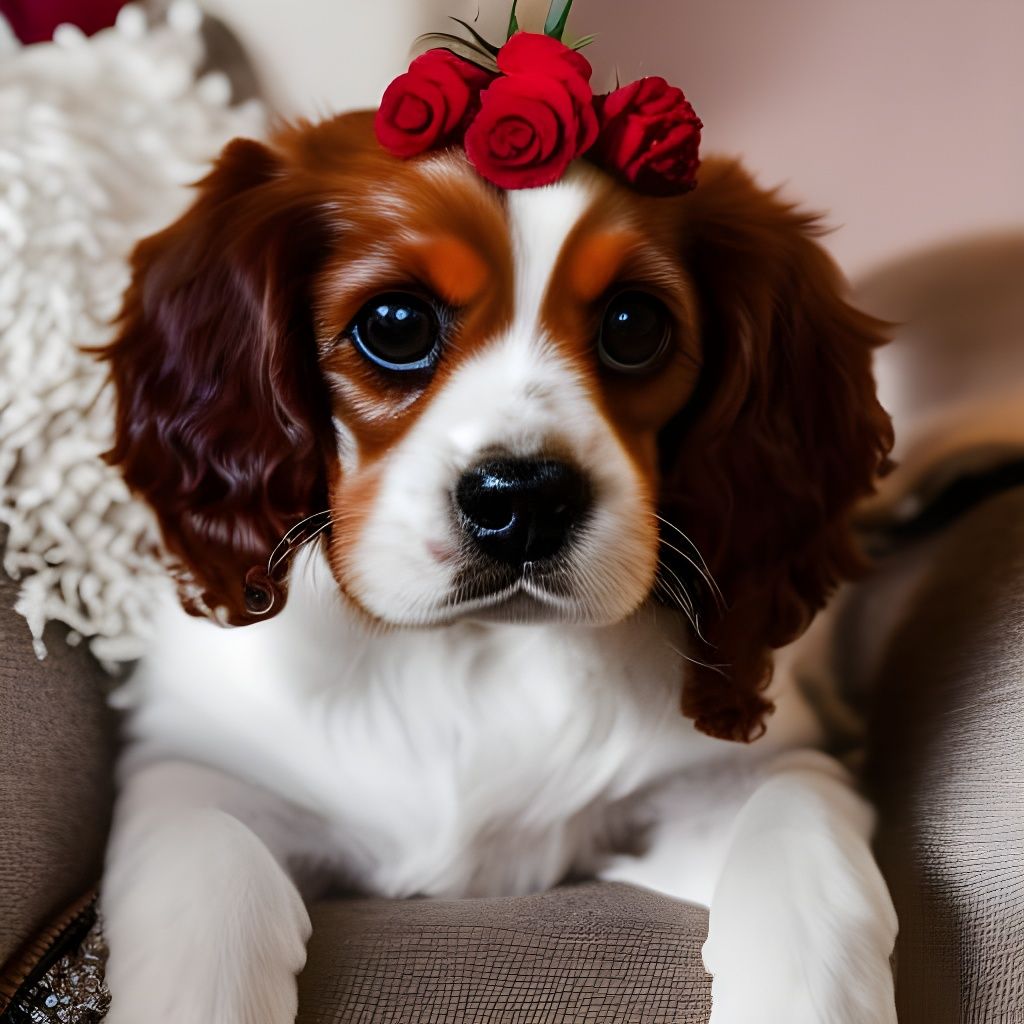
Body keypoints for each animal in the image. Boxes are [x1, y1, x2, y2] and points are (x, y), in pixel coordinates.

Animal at [97, 110, 898, 1023]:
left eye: (634, 325)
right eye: (396, 323)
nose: (526, 501)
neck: (469, 654)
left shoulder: (741, 776)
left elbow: (798, 848)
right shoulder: (194, 772)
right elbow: (207, 874)